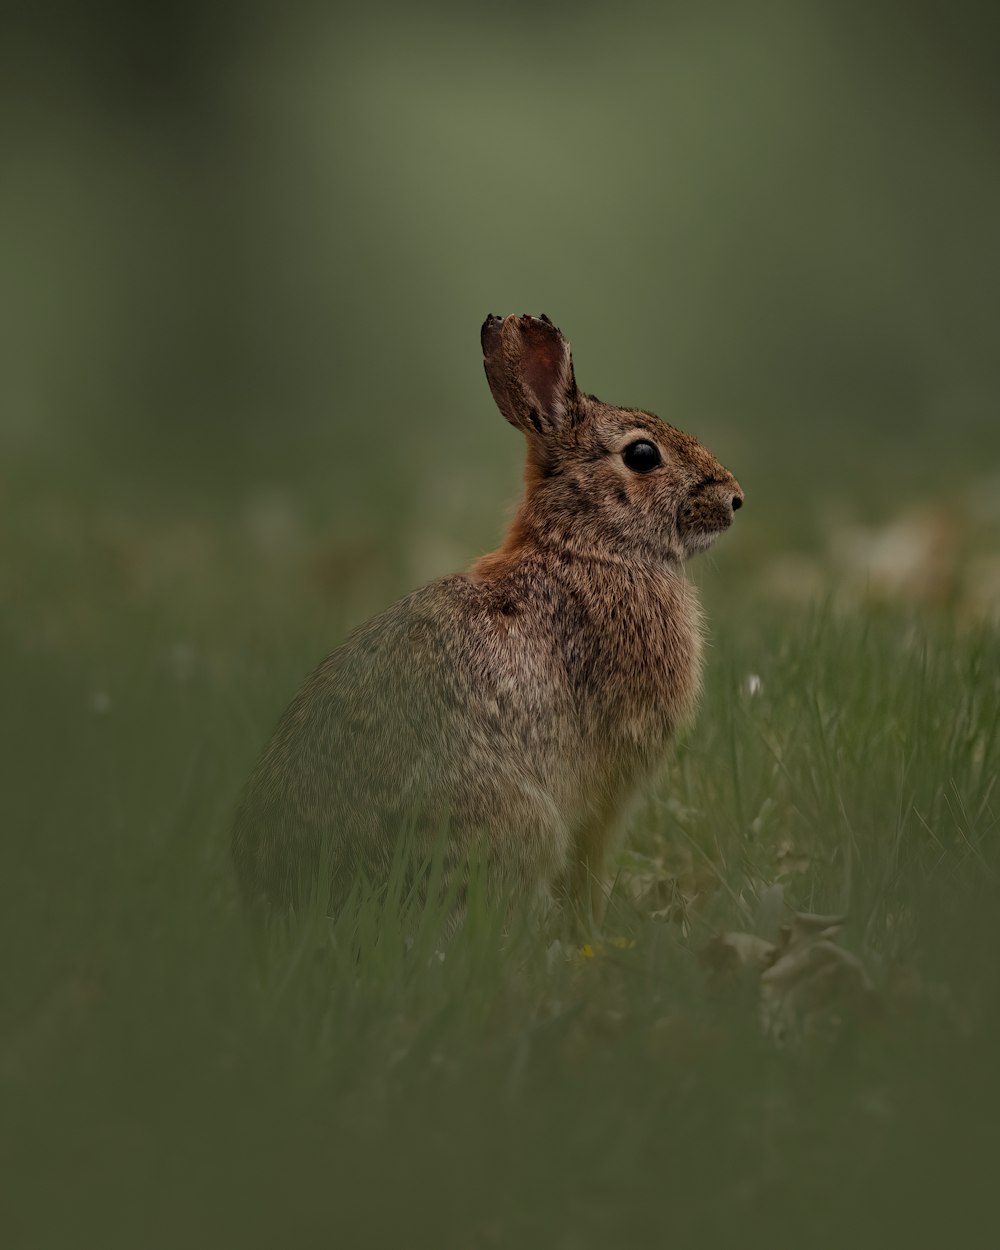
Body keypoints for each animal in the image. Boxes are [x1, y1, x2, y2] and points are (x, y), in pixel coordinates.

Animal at [232, 312, 740, 920]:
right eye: (643, 455)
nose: (736, 499)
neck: (588, 547)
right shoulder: (608, 790)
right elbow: (588, 868)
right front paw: (591, 926)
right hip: (515, 823)